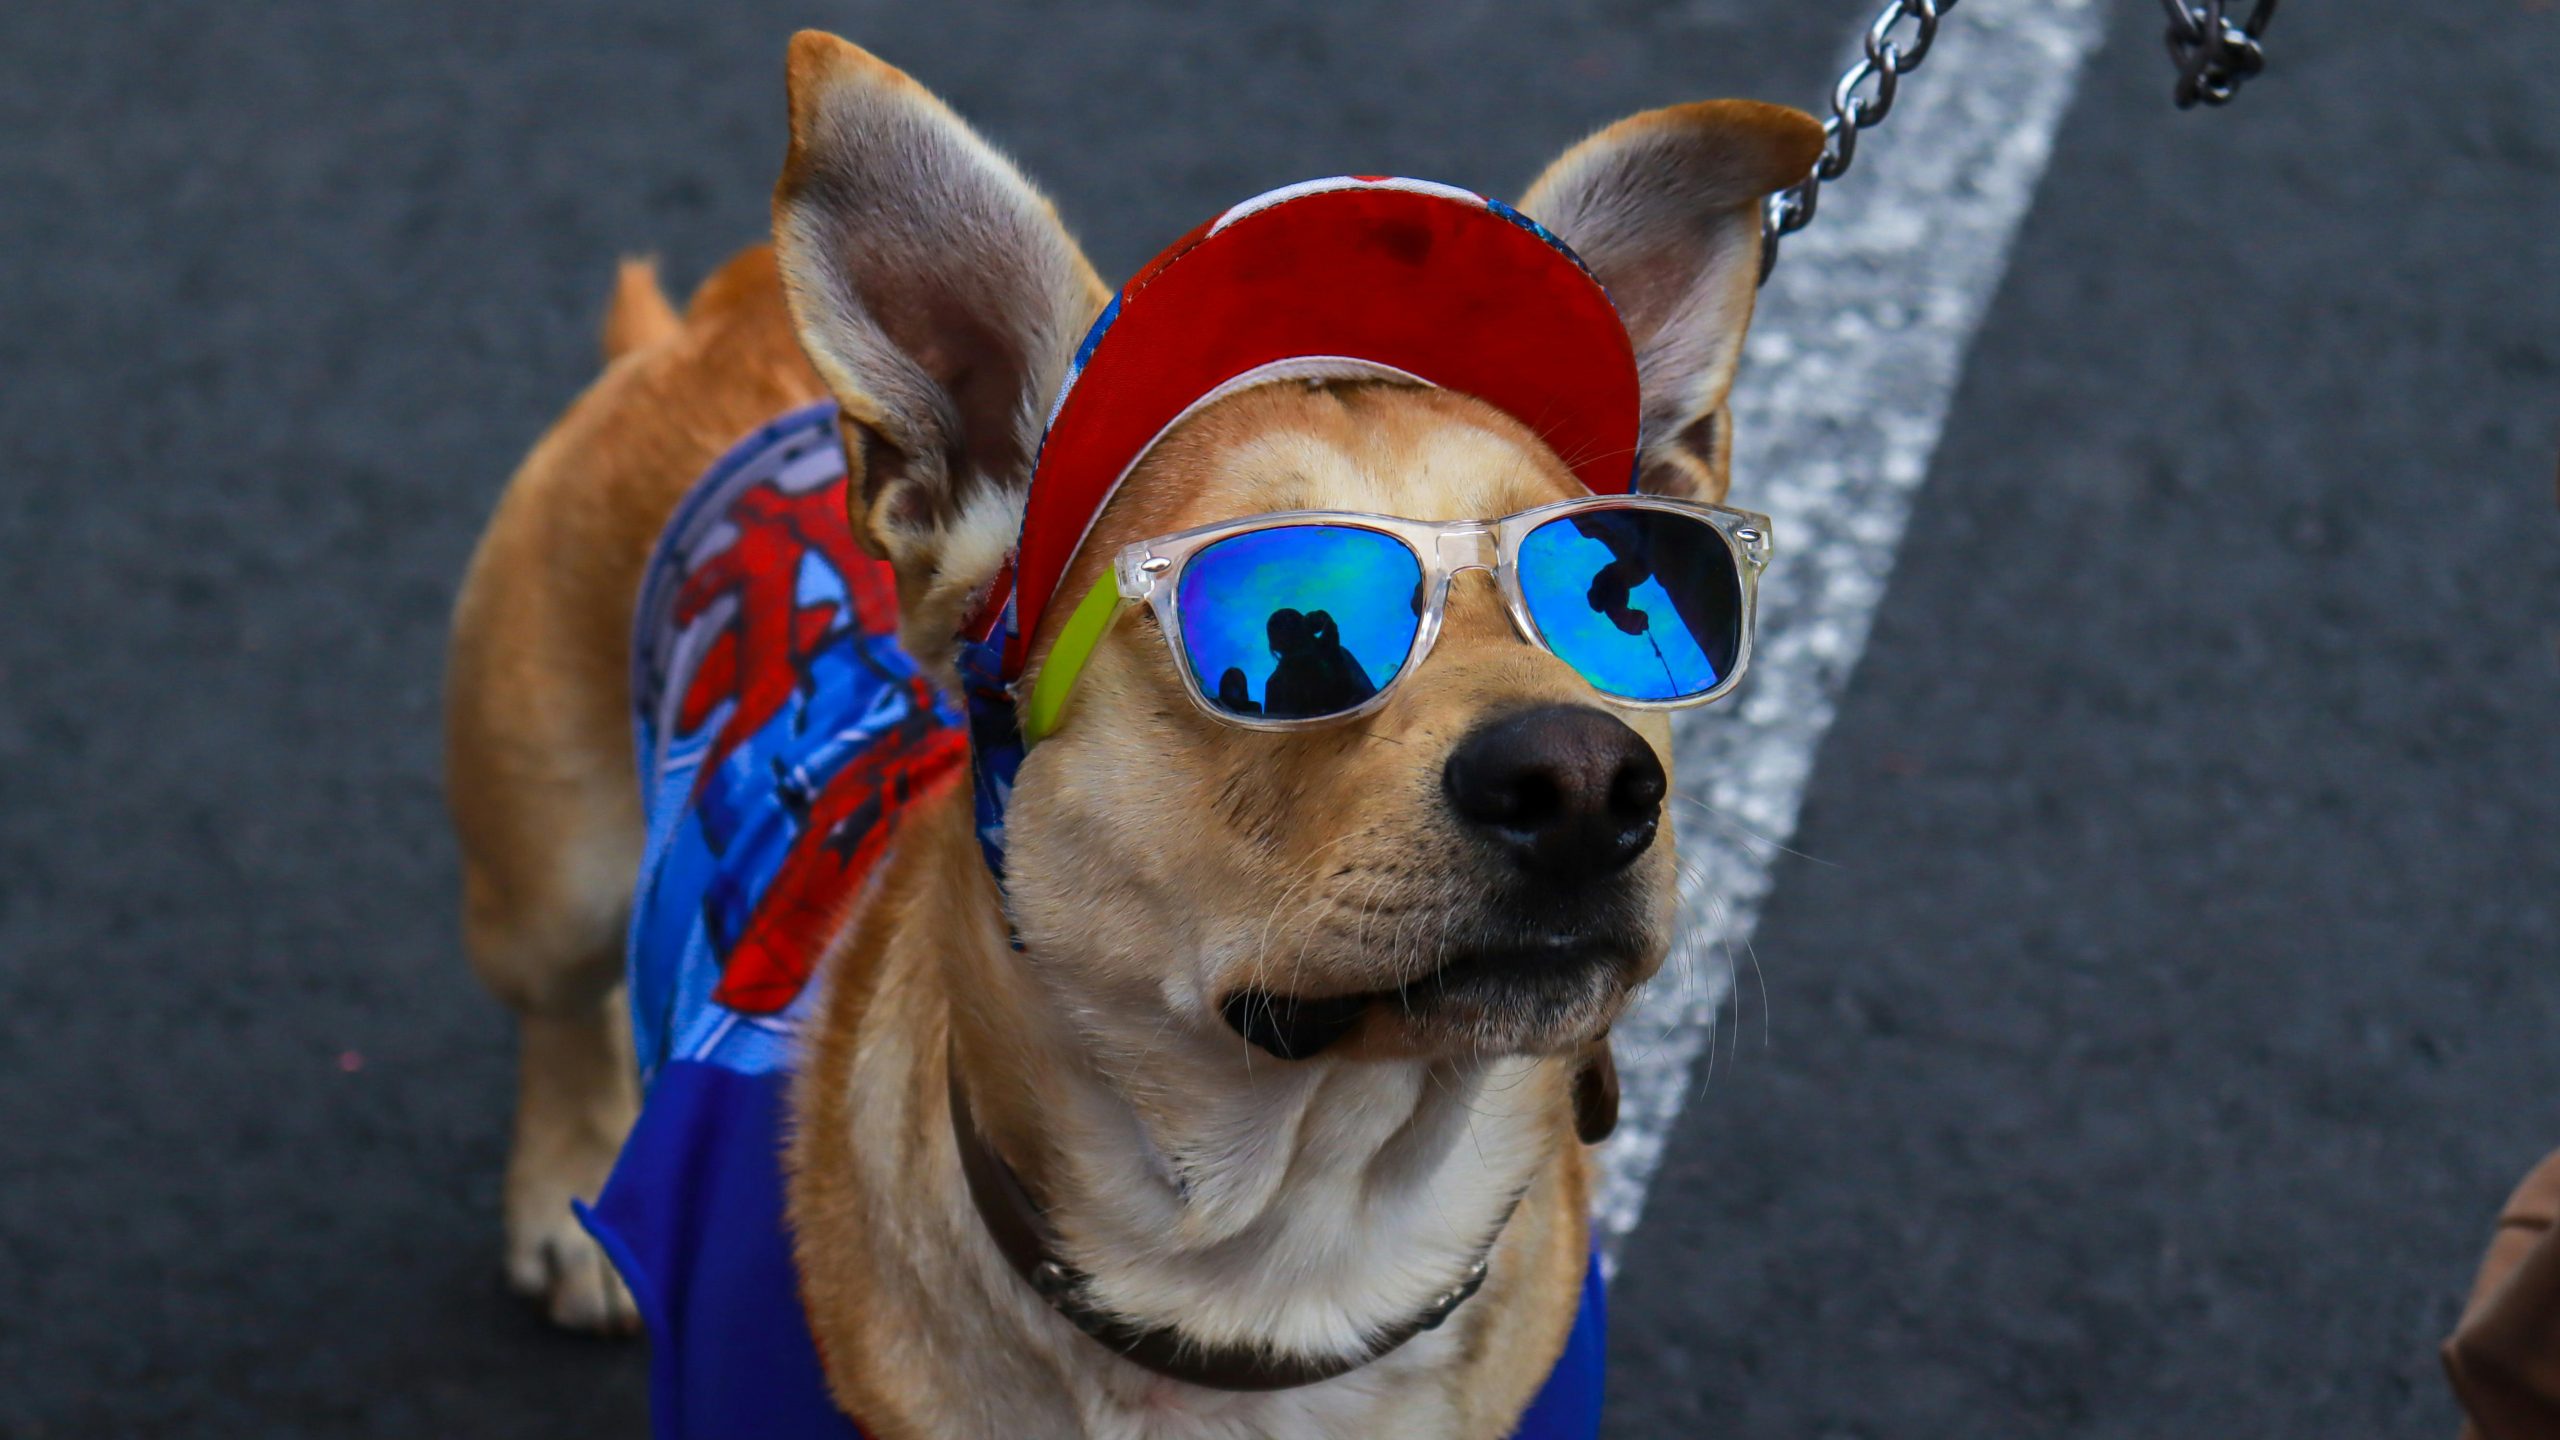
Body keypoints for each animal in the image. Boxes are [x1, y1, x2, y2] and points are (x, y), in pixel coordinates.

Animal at [455, 33, 1822, 1434]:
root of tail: (710, 328)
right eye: (1281, 624)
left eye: (1618, 595)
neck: (1276, 1279)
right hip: (548, 885)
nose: (1584, 782)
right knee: (559, 1007)